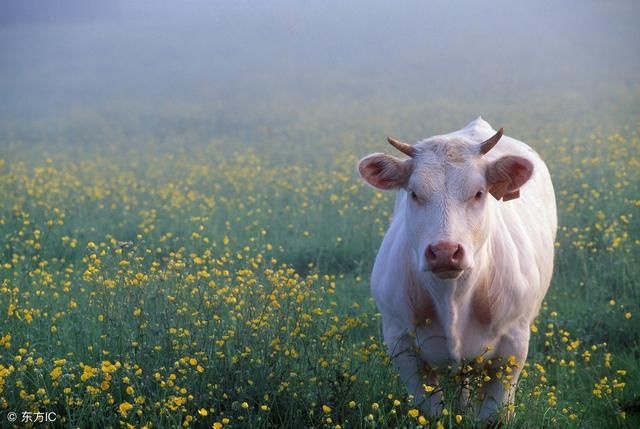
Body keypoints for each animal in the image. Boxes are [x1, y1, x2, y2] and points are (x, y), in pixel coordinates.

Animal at [358, 118, 556, 422]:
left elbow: (493, 415)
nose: (444, 252)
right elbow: (430, 411)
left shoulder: (513, 345)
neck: (452, 297)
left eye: (479, 193)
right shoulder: (400, 342)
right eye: (414, 193)